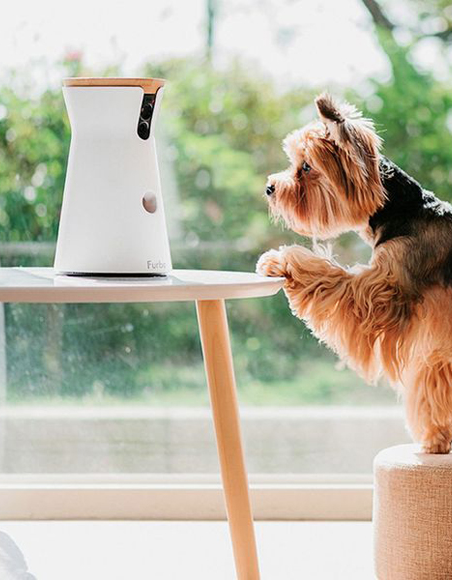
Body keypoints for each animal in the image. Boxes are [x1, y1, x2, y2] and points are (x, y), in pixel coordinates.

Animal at [257, 93, 452, 453]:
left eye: (306, 167)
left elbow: (331, 278)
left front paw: (281, 262)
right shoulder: (437, 335)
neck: (404, 211)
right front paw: (437, 437)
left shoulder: (383, 290)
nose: (269, 187)